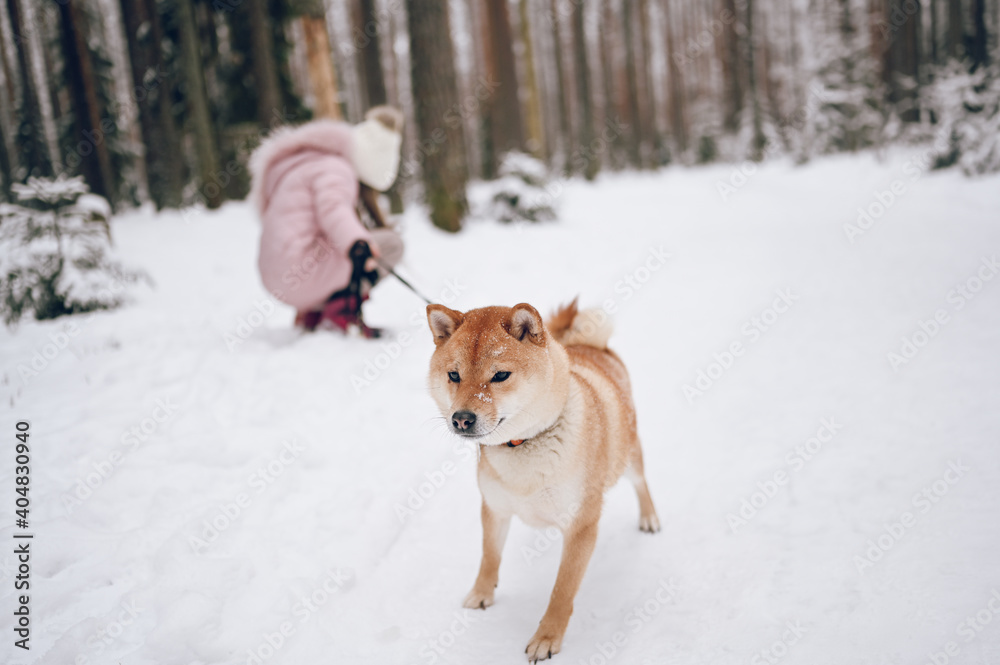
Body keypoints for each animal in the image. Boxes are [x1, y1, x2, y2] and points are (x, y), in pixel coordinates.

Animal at [426, 300, 660, 660]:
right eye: (454, 375)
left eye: (500, 375)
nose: (462, 419)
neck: (524, 444)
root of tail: (591, 345)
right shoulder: (494, 508)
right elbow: (489, 557)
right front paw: (482, 593)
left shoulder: (581, 526)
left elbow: (562, 590)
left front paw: (547, 637)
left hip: (628, 455)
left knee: (641, 482)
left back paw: (649, 517)